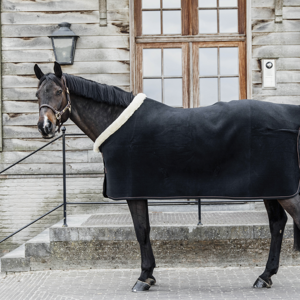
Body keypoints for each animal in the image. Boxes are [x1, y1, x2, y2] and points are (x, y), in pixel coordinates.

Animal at [34, 61, 300, 292]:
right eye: (37, 94)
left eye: (58, 91)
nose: (45, 127)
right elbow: (145, 230)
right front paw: (149, 275)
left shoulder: (134, 192)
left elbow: (141, 231)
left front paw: (143, 278)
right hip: (272, 188)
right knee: (277, 224)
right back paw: (265, 276)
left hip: (283, 189)